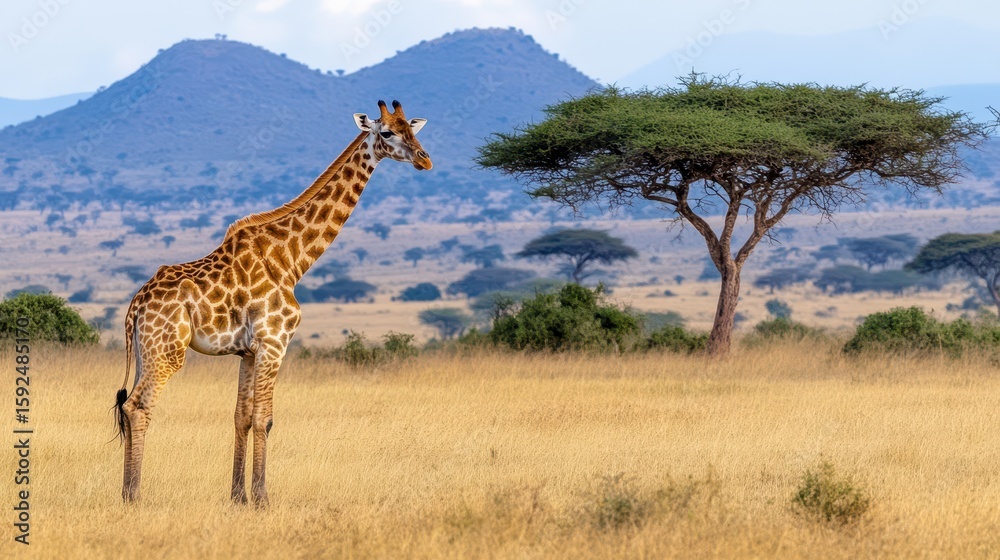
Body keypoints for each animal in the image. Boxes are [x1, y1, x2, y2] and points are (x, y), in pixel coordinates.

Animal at [114, 100, 431, 505]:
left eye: (413, 130)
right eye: (387, 132)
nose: (425, 160)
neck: (292, 260)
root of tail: (135, 306)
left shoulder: (248, 351)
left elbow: (242, 416)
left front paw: (238, 497)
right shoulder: (274, 342)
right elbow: (265, 418)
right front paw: (263, 499)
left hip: (145, 349)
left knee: (127, 407)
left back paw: (126, 490)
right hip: (168, 349)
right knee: (139, 406)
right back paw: (133, 495)